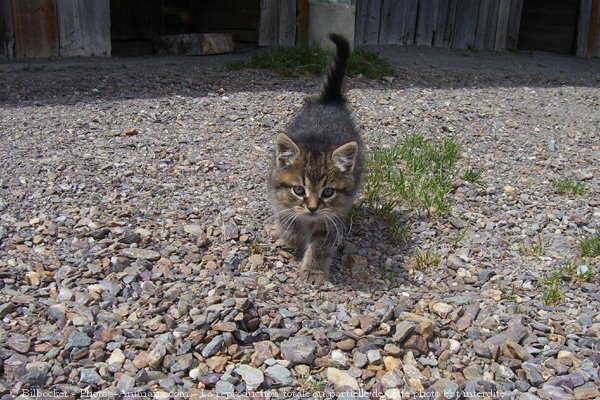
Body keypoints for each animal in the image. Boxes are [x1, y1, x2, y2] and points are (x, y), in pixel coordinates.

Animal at [270, 34, 364, 284]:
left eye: (328, 192)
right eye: (298, 190)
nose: (312, 208)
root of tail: (329, 101)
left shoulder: (334, 216)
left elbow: (321, 244)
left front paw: (313, 270)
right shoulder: (280, 199)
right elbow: (288, 220)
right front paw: (293, 237)